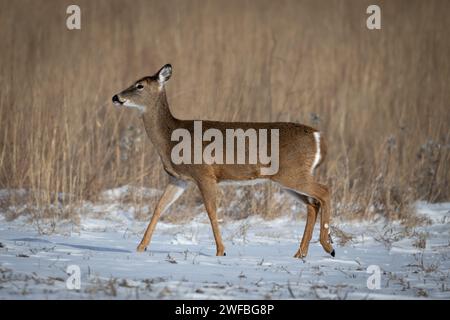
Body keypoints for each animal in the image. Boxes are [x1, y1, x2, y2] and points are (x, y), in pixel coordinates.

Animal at [112, 63, 334, 258]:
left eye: (139, 85)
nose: (116, 97)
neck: (170, 139)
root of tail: (318, 136)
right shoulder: (179, 179)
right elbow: (159, 207)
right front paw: (140, 247)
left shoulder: (204, 174)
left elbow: (211, 211)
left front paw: (221, 251)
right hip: (286, 178)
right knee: (312, 204)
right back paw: (301, 253)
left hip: (291, 173)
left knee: (324, 191)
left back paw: (328, 245)